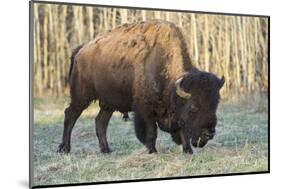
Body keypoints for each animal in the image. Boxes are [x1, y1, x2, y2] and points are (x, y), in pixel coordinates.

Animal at [57, 19, 223, 154]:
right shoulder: (145, 110)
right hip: (81, 97)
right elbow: (151, 132)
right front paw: (152, 151)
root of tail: (80, 50)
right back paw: (64, 148)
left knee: (100, 122)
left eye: (215, 106)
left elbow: (183, 131)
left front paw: (187, 151)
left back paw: (106, 149)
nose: (209, 133)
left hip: (108, 103)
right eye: (194, 107)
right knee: (70, 115)